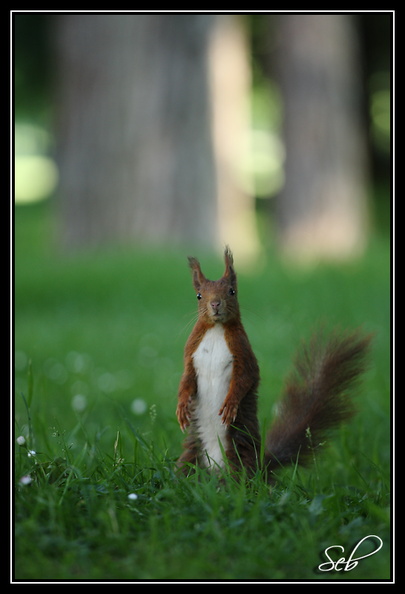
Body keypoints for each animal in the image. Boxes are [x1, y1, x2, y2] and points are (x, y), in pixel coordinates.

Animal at [175, 246, 370, 480]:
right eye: (199, 295)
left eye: (232, 291)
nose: (215, 304)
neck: (215, 329)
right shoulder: (190, 353)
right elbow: (186, 379)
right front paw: (182, 406)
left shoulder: (243, 353)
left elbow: (245, 378)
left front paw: (231, 404)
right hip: (192, 452)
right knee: (186, 468)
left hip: (239, 451)